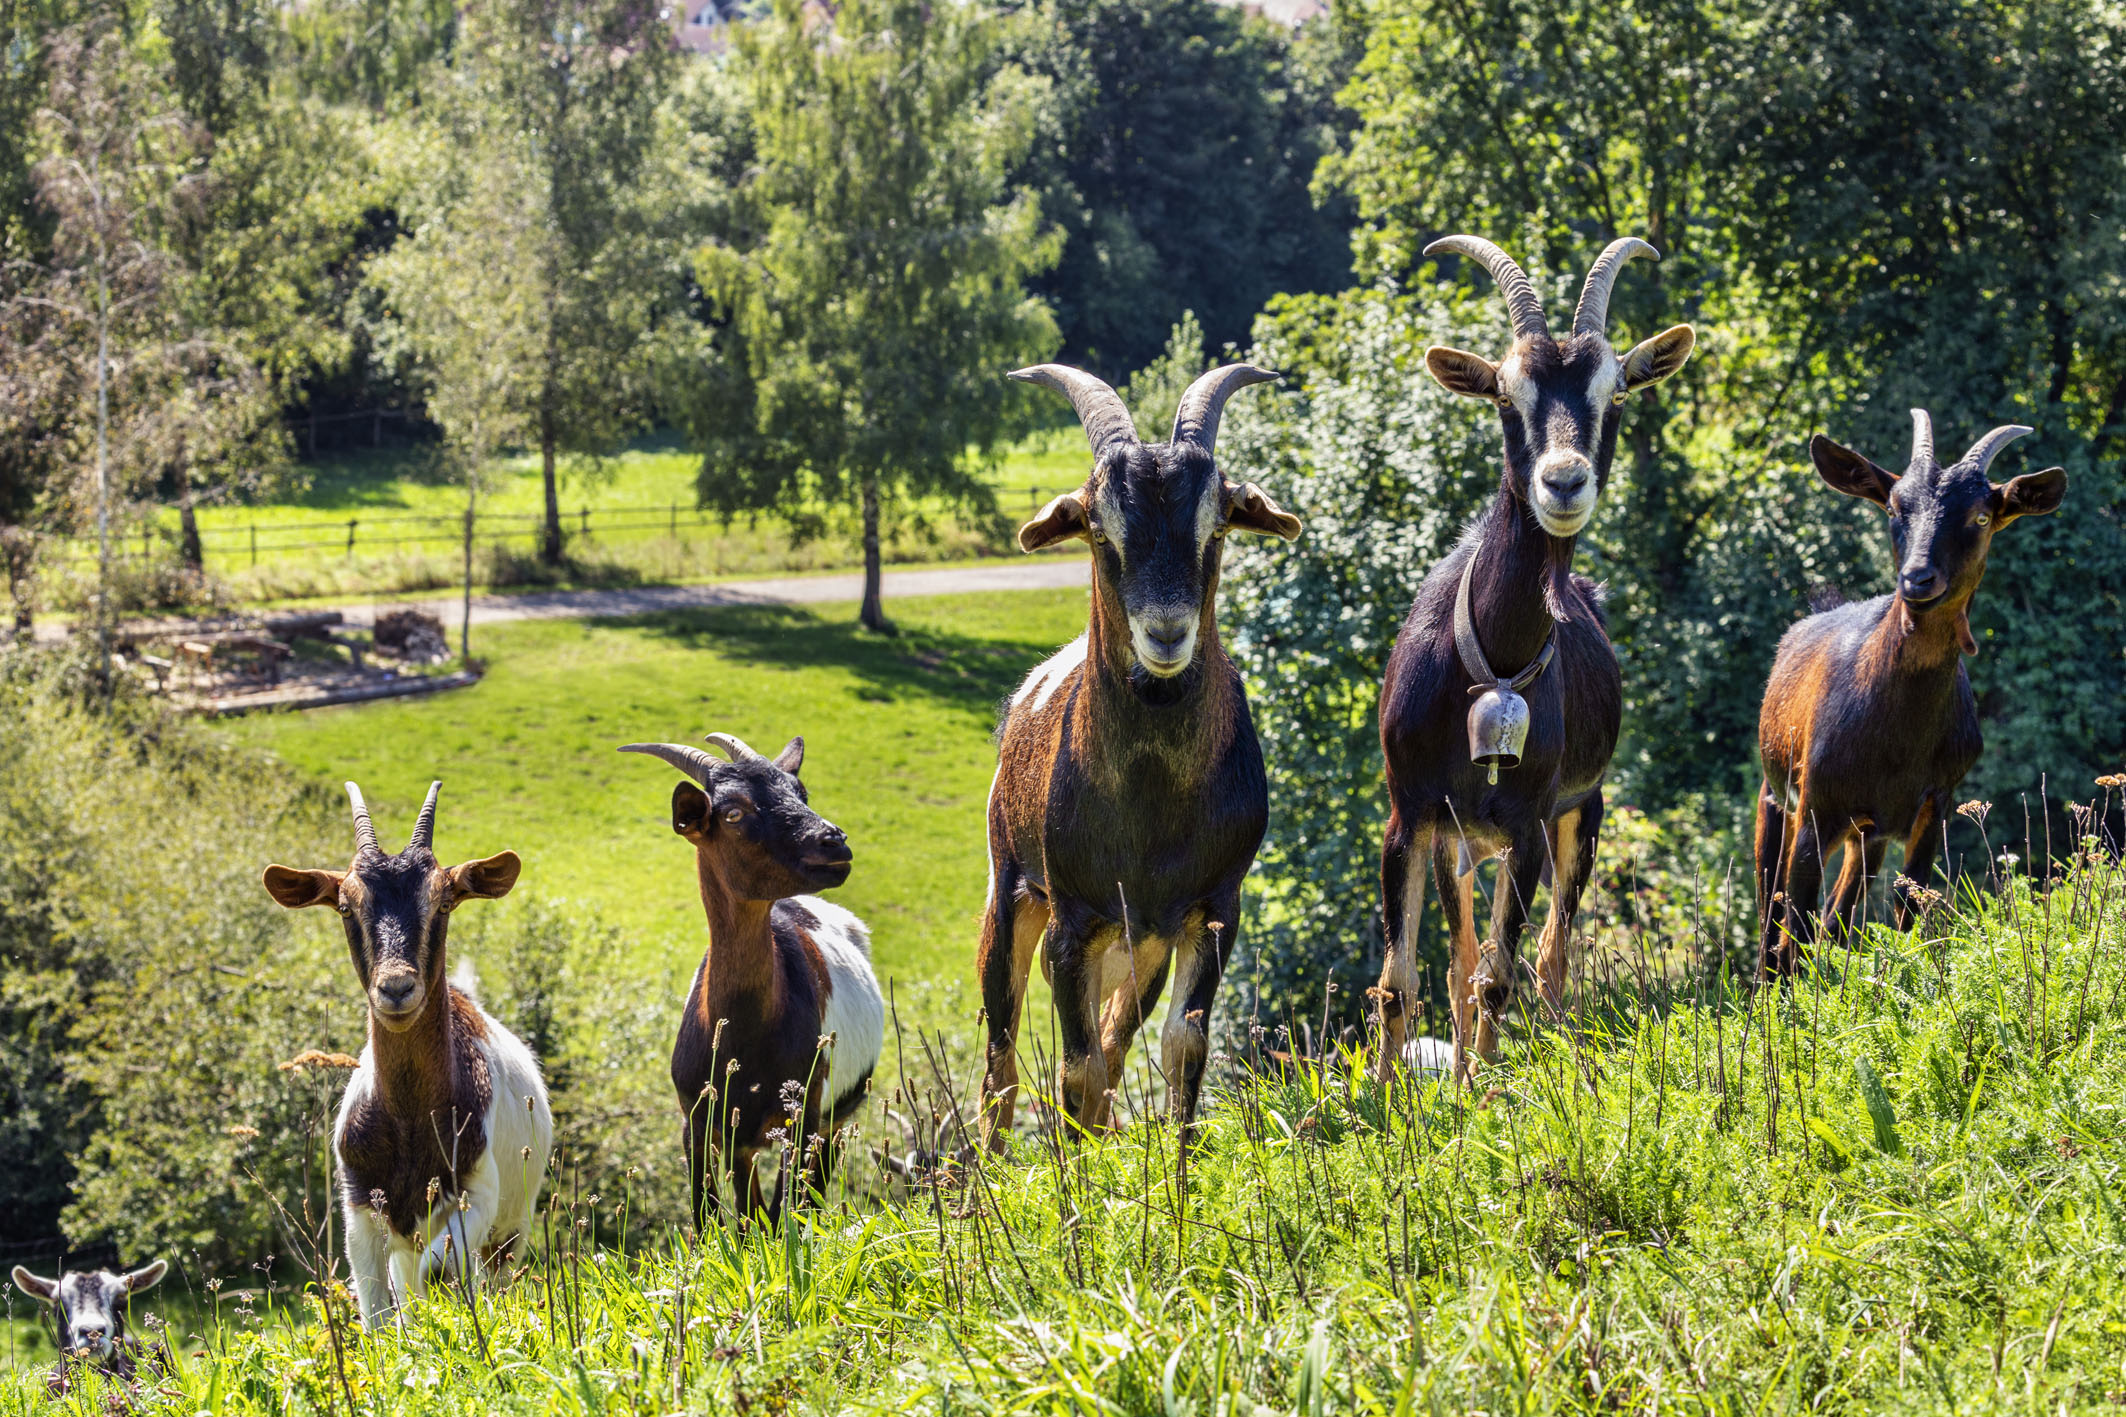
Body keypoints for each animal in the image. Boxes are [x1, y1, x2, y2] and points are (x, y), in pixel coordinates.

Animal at [263, 781, 557, 1325]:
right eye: (345, 907)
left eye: (443, 902)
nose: (397, 987)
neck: (407, 1120)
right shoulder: (359, 1207)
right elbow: (377, 1309)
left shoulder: (476, 1193)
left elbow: (438, 1272)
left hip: (514, 1224)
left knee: (490, 1273)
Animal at [973, 363, 1301, 1155]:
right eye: (1098, 525)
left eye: (1219, 521)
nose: (1166, 633)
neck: (1149, 816)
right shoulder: (1072, 922)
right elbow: (1075, 1068)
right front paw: (1078, 1179)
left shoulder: (1211, 911)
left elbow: (1180, 1047)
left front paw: (1176, 1166)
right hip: (1012, 894)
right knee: (1001, 1060)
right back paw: (987, 1174)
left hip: (1141, 944)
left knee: (1117, 1038)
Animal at [1377, 235, 1692, 1087]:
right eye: (1504, 395)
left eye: (1614, 396)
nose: (1563, 480)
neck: (1489, 665)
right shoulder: (1412, 813)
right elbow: (1403, 981)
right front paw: (1382, 1102)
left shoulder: (1525, 825)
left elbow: (1498, 975)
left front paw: (1483, 1097)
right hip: (1460, 842)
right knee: (1462, 957)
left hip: (1579, 814)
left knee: (1547, 955)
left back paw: (1561, 1056)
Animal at [1751, 410, 2066, 977]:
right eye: (1897, 506)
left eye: (1981, 517)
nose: (1918, 579)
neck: (1897, 736)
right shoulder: (1816, 807)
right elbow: (1794, 932)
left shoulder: (1933, 804)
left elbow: (1905, 913)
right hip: (1776, 797)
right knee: (1773, 911)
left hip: (1866, 834)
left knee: (1837, 915)